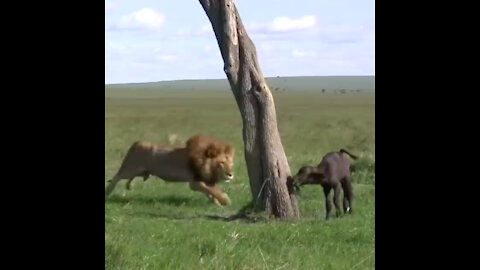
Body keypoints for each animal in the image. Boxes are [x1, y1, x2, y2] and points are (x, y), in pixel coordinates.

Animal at [105, 134, 234, 206]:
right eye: (222, 163)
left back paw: (128, 186)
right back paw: (108, 191)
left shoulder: (204, 181)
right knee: (117, 176)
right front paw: (226, 201)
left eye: (231, 163)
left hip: (141, 172)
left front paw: (217, 204)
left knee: (128, 178)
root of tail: (136, 143)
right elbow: (214, 191)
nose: (230, 175)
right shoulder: (194, 183)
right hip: (131, 169)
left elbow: (211, 193)